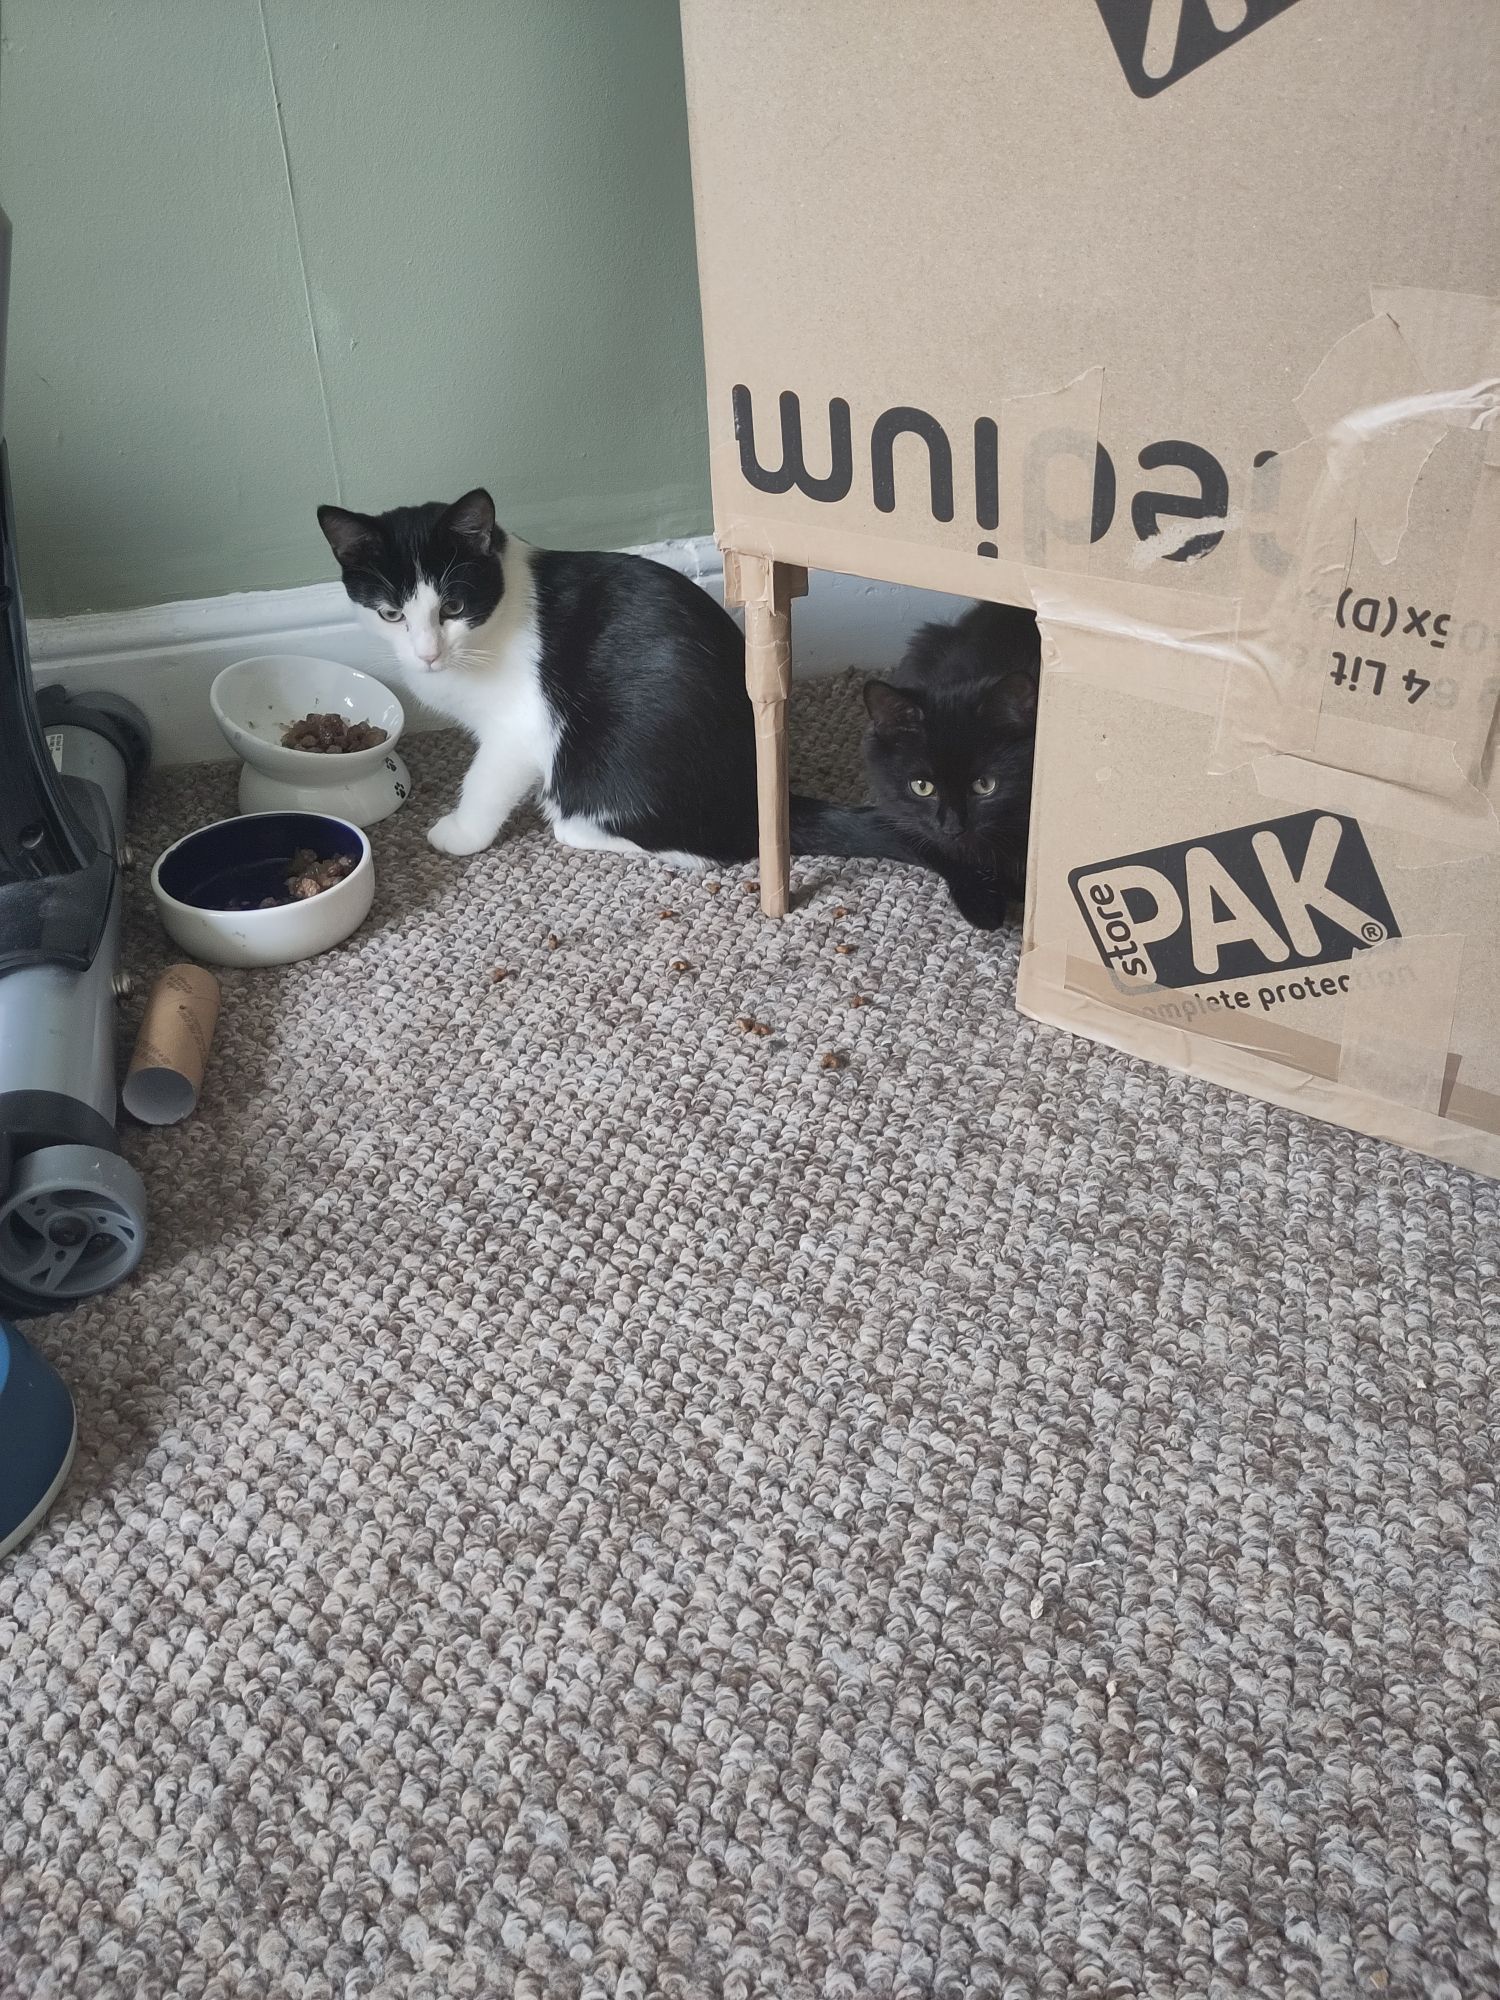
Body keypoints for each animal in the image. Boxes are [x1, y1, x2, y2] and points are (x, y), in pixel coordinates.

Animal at [324, 486, 876, 868]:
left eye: (454, 607)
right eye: (391, 613)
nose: (428, 654)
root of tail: (762, 802)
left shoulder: (521, 726)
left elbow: (485, 780)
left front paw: (460, 833)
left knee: (711, 850)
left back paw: (579, 827)